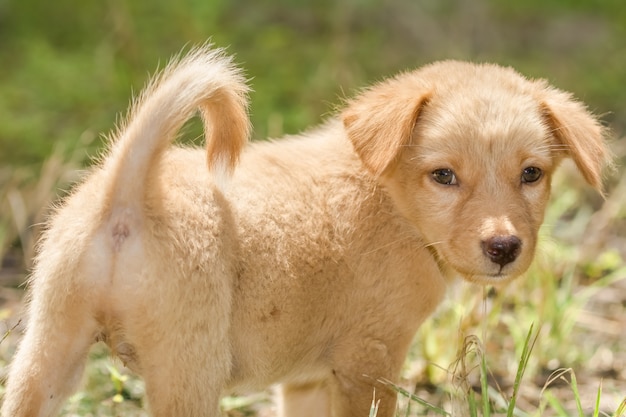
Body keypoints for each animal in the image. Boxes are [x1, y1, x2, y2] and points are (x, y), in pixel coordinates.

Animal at [0, 45, 604, 416]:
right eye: (444, 176)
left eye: (532, 175)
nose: (504, 248)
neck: (387, 198)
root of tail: (130, 192)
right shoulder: (371, 363)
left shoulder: (308, 380)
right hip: (186, 369)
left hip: (47, 353)